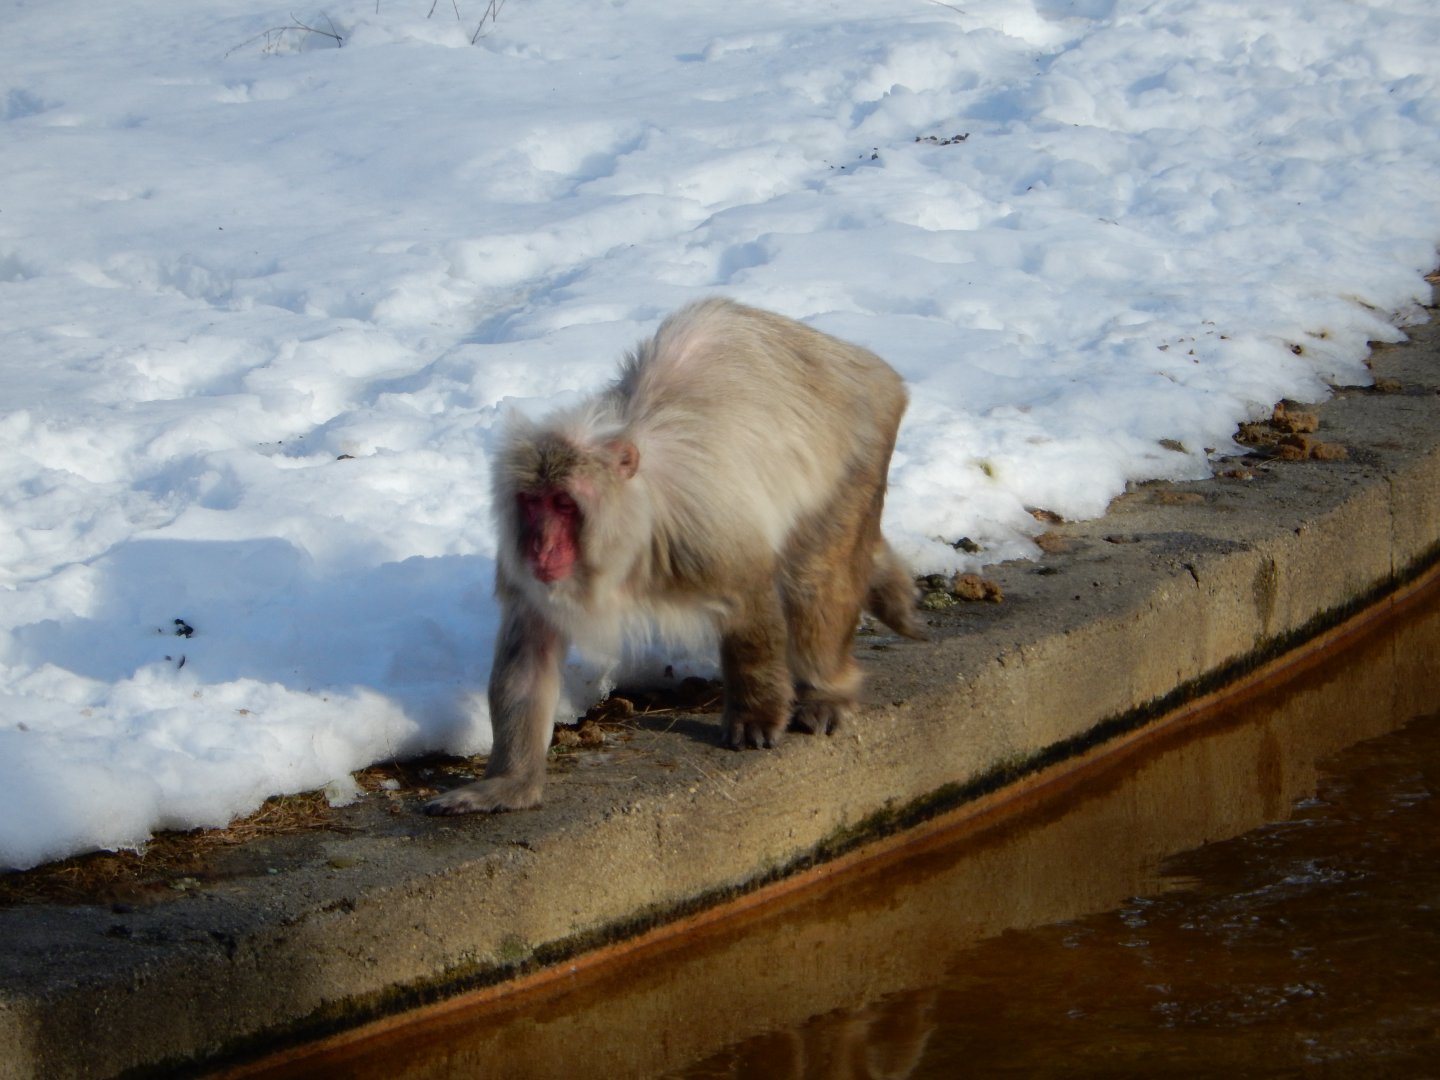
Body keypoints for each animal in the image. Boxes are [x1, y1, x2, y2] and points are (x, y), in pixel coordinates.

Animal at [424, 297, 922, 816]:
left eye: (563, 503)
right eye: (531, 502)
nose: (541, 545)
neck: (630, 528)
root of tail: (860, 361)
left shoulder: (701, 531)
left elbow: (748, 600)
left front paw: (756, 711)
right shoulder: (525, 570)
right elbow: (529, 656)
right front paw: (508, 783)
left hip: (859, 450)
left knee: (817, 576)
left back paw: (826, 689)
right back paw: (891, 584)